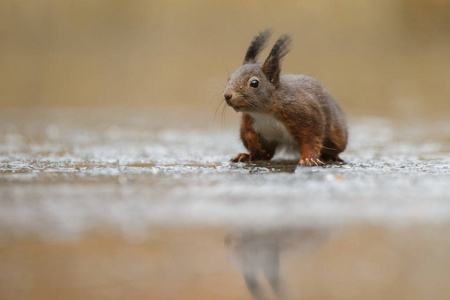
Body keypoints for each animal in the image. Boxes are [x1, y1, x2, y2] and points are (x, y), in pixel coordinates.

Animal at [224, 29, 348, 165]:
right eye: (229, 77)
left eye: (254, 83)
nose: (227, 95)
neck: (264, 112)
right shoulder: (249, 121)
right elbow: (248, 135)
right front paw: (254, 146)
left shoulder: (306, 114)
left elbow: (310, 139)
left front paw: (308, 159)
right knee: (267, 154)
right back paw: (247, 156)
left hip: (336, 136)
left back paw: (332, 157)